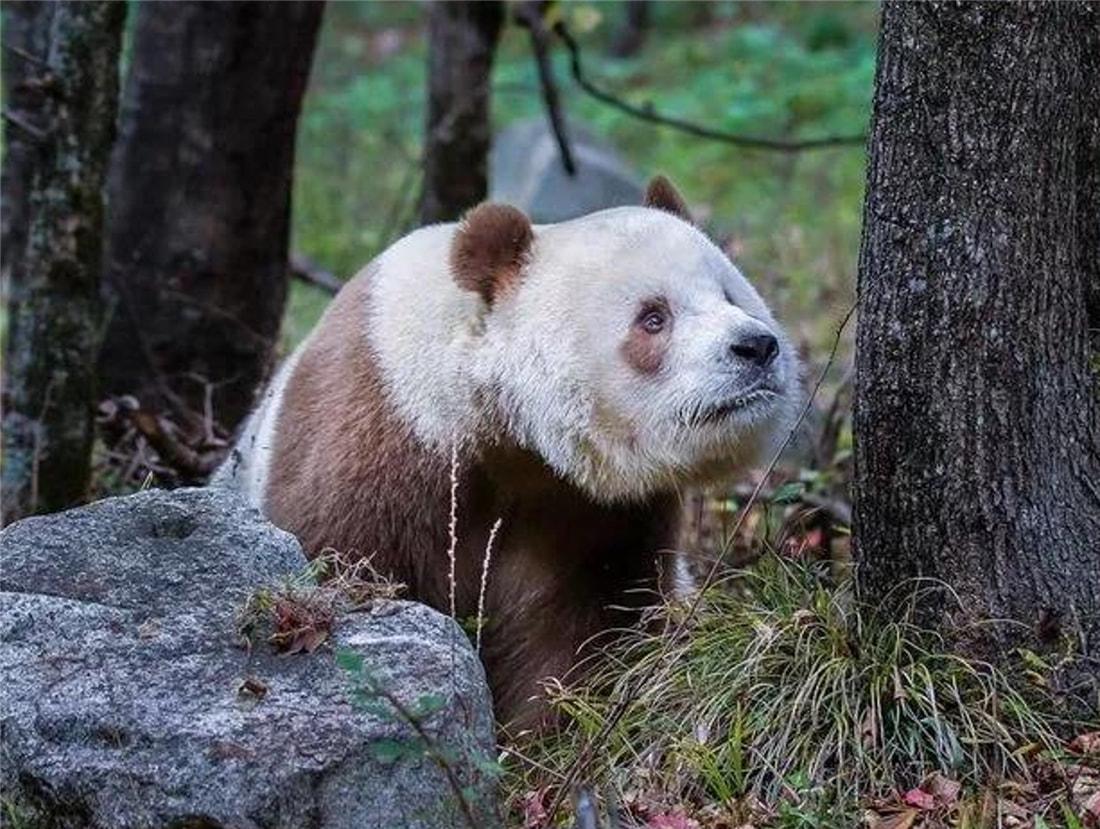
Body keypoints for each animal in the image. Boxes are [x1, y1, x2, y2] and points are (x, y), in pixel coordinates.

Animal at [213, 177, 800, 729]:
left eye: (730, 295)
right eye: (653, 317)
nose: (756, 347)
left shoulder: (595, 512)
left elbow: (583, 634)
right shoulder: (376, 433)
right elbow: (341, 561)